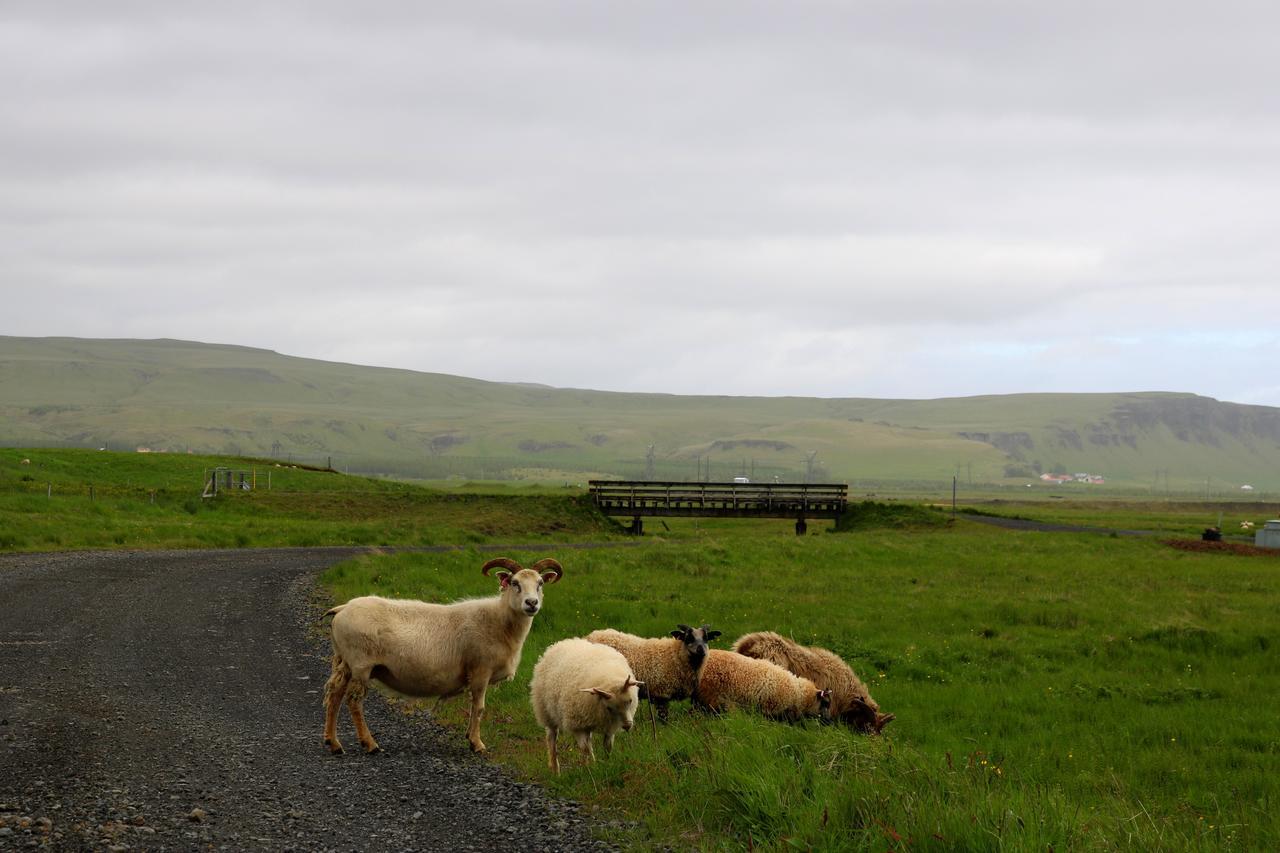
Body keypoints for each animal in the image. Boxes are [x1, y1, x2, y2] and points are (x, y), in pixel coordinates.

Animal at [320, 558, 560, 753]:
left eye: (540, 583)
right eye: (514, 583)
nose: (532, 603)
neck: (501, 621)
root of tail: (342, 608)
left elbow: (473, 707)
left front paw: (469, 737)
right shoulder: (480, 669)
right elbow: (479, 708)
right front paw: (477, 744)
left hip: (344, 661)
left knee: (334, 695)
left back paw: (333, 743)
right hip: (361, 664)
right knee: (353, 701)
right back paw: (369, 744)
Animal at [527, 637, 640, 768]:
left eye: (630, 701)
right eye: (609, 708)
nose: (627, 726)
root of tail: (561, 643)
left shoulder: (609, 725)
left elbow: (607, 747)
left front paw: (607, 763)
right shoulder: (577, 725)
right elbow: (585, 749)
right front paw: (591, 767)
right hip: (546, 712)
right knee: (552, 739)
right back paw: (556, 768)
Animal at [586, 617, 721, 717]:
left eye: (706, 638)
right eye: (688, 638)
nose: (701, 651)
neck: (675, 655)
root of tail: (589, 636)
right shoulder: (661, 693)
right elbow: (663, 717)